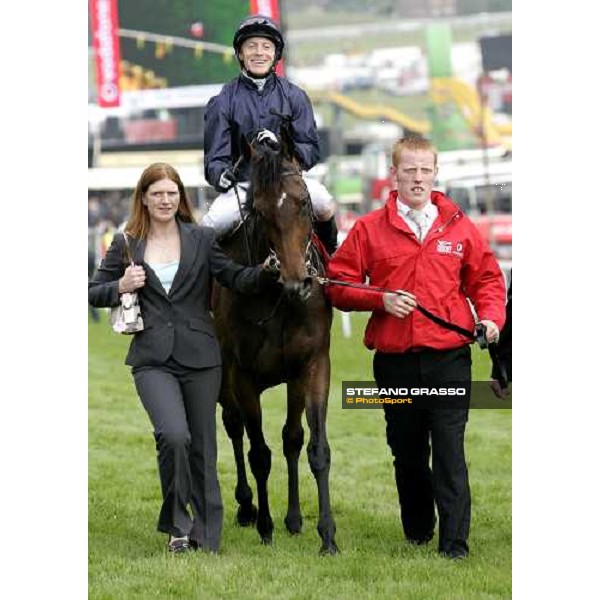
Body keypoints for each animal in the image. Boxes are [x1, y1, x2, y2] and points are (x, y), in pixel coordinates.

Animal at [211, 123, 338, 556]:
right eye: (259, 212)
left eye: (303, 203)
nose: (298, 282)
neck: (280, 299)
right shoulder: (243, 375)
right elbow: (259, 454)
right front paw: (265, 527)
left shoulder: (312, 365)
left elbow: (311, 446)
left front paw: (325, 534)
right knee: (234, 428)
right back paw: (247, 507)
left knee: (291, 439)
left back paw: (294, 519)